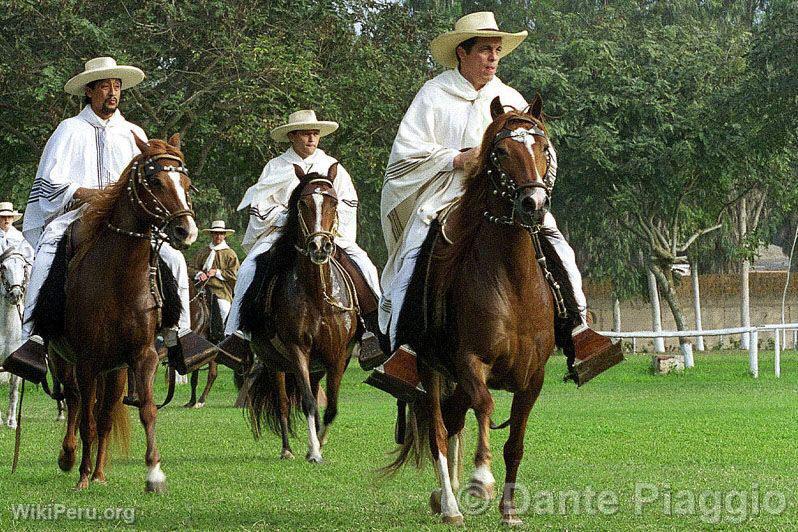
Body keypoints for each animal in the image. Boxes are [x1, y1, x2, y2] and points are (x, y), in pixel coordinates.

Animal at [32, 135, 198, 492]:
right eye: (155, 181)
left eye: (186, 184)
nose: (186, 231)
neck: (118, 280)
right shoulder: (87, 361)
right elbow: (86, 421)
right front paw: (81, 476)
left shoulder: (141, 356)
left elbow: (145, 411)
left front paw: (154, 473)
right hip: (67, 360)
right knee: (75, 403)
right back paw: (71, 460)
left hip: (114, 370)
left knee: (104, 415)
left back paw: (99, 472)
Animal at [239, 164, 360, 464]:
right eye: (303, 203)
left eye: (333, 202)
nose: (319, 247)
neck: (317, 297)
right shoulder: (297, 351)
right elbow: (306, 402)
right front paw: (314, 451)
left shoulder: (337, 355)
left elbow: (331, 407)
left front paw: (319, 444)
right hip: (275, 364)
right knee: (283, 403)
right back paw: (287, 449)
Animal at [384, 95, 560, 524]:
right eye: (501, 151)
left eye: (542, 148)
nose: (533, 203)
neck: (513, 285)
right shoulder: (470, 361)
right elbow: (485, 405)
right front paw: (481, 479)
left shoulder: (534, 376)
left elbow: (515, 442)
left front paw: (509, 509)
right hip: (430, 369)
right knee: (439, 431)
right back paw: (449, 505)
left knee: (453, 420)